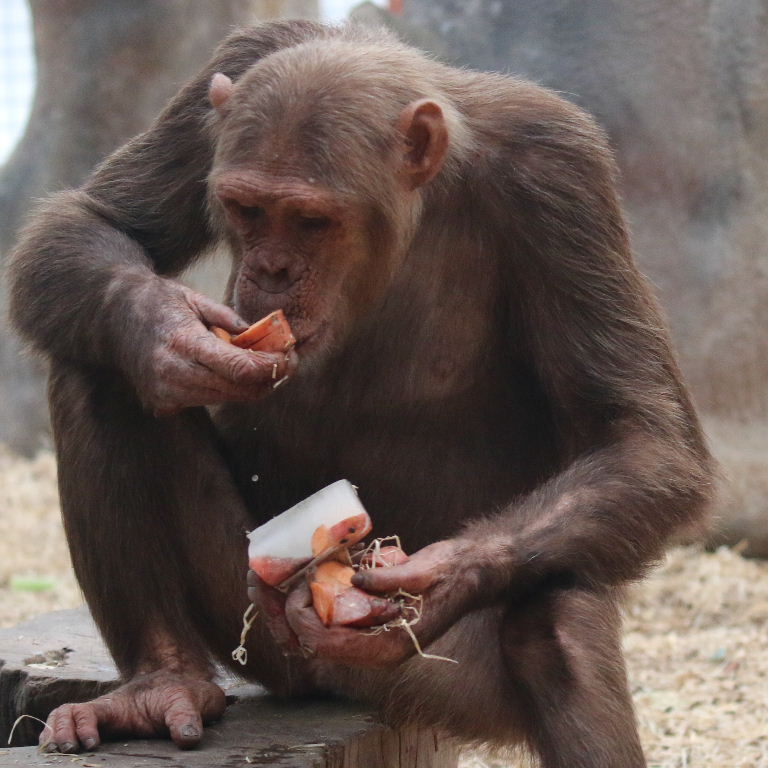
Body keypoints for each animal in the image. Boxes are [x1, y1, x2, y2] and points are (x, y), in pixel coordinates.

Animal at [8, 20, 714, 768]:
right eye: (247, 210)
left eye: (311, 220)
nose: (272, 269)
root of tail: (361, 699)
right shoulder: (231, 70)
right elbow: (97, 221)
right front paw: (167, 337)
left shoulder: (560, 172)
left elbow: (639, 432)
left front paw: (442, 577)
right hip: (258, 635)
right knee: (96, 369)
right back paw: (157, 684)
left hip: (441, 682)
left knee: (560, 619)